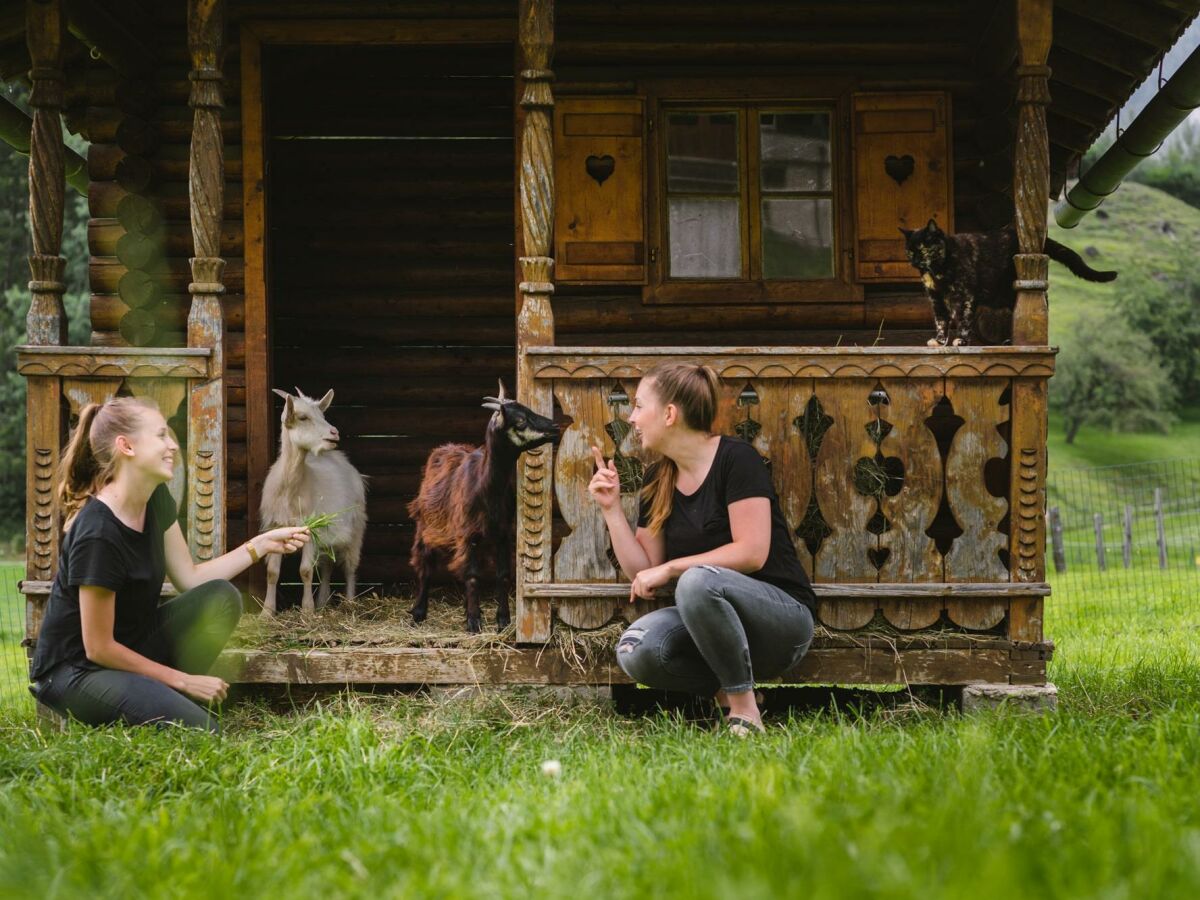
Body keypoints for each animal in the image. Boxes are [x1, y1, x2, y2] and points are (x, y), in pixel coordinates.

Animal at [264, 384, 367, 619]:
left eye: (323, 415)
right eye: (303, 417)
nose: (334, 433)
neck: (291, 489)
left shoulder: (309, 527)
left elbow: (305, 570)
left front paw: (307, 611)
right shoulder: (275, 525)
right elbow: (272, 572)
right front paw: (266, 612)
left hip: (355, 525)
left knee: (350, 565)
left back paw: (349, 602)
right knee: (327, 564)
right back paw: (323, 602)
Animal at [405, 381, 559, 633]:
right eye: (520, 421)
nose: (554, 428)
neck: (487, 490)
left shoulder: (503, 533)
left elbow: (503, 575)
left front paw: (503, 620)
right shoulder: (468, 534)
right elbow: (472, 575)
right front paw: (473, 621)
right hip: (424, 525)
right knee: (424, 565)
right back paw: (418, 613)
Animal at [902, 220, 1113, 348]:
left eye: (923, 249)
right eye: (910, 252)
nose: (914, 262)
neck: (938, 271)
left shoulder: (966, 295)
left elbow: (963, 319)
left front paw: (961, 340)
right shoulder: (936, 299)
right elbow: (941, 321)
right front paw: (939, 341)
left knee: (1043, 302)